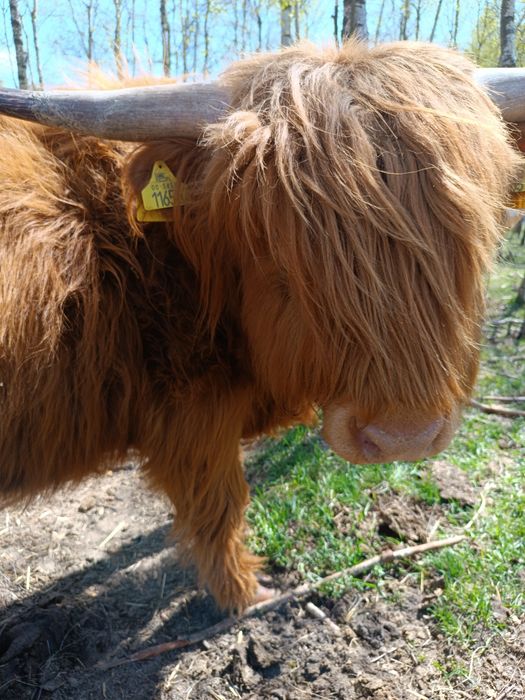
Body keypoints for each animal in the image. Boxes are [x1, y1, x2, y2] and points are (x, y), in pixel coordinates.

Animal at [0, 41, 522, 612]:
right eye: (278, 251)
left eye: (470, 239)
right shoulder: (192, 412)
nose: (403, 437)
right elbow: (220, 503)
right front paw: (245, 593)